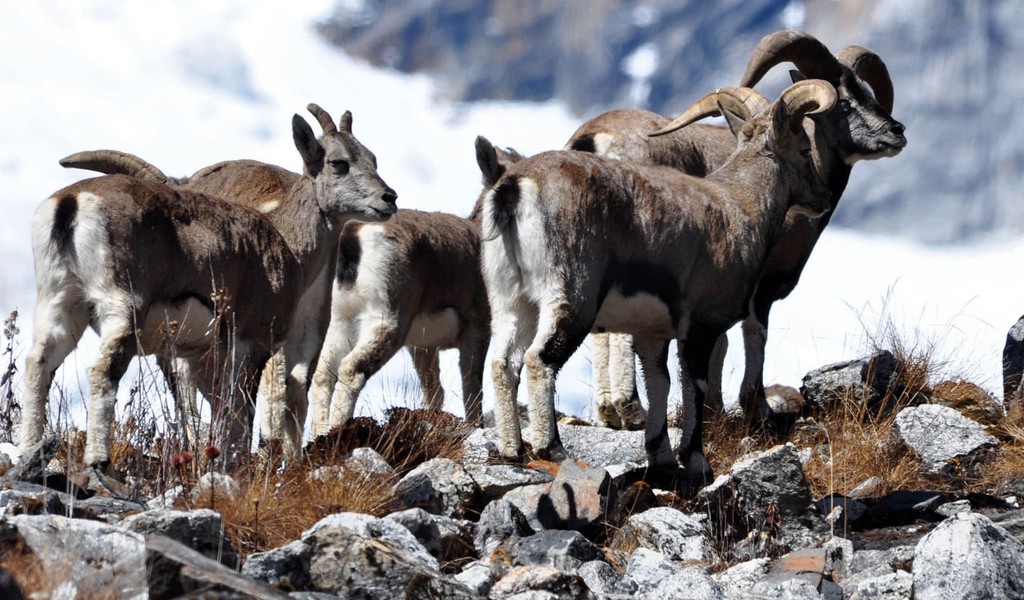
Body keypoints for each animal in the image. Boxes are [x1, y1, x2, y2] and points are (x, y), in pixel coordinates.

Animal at [27, 104, 395, 464]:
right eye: (339, 162)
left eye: (373, 159)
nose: (388, 198)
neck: (285, 241)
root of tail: (72, 204)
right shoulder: (249, 344)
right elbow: (239, 419)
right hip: (121, 307)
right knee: (103, 371)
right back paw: (99, 463)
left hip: (59, 303)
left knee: (37, 365)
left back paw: (28, 451)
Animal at [307, 138, 524, 432]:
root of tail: (353, 237)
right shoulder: (475, 332)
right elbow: (472, 392)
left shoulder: (423, 349)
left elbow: (434, 394)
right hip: (386, 323)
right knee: (351, 369)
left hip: (341, 322)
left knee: (323, 375)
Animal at [479, 79, 831, 483]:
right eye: (804, 149)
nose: (822, 198)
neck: (739, 205)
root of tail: (515, 188)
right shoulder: (701, 326)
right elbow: (695, 385)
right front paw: (695, 459)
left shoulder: (653, 332)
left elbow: (658, 382)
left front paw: (660, 455)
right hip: (571, 294)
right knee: (539, 360)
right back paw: (551, 447)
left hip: (510, 300)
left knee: (503, 364)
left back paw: (512, 450)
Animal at [565, 30, 909, 425]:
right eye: (844, 102)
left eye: (867, 92)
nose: (896, 131)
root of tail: (595, 141)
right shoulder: (760, 285)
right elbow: (753, 334)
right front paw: (756, 407)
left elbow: (720, 342)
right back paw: (631, 407)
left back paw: (611, 412)